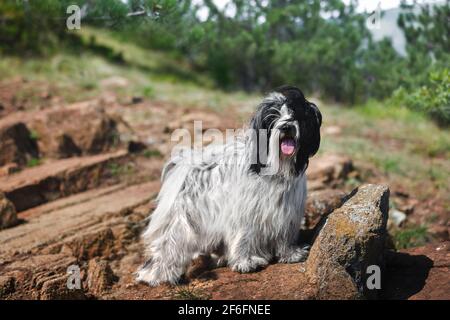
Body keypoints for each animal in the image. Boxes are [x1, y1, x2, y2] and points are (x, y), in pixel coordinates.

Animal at [135, 84, 322, 284]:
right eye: (273, 116)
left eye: (295, 114)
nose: (286, 126)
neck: (277, 168)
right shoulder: (245, 213)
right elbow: (243, 237)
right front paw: (245, 261)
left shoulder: (285, 213)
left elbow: (284, 235)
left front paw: (290, 254)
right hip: (181, 218)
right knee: (168, 243)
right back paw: (156, 274)